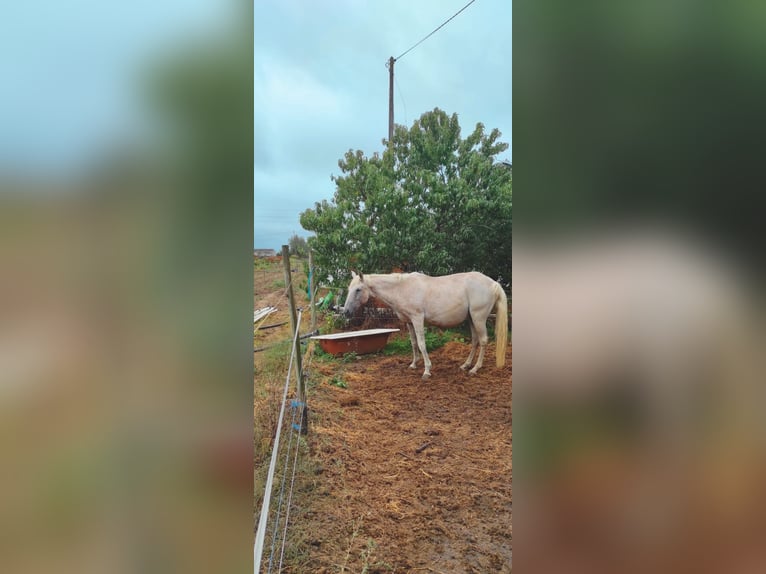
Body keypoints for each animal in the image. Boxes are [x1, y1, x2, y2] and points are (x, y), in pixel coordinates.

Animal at [342, 272, 510, 380]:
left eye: (358, 289)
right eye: (349, 289)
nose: (346, 312)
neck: (402, 288)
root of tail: (493, 283)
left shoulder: (417, 319)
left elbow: (422, 344)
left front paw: (427, 371)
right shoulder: (409, 322)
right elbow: (414, 343)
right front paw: (413, 364)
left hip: (478, 318)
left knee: (483, 341)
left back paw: (475, 369)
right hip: (471, 319)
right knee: (475, 341)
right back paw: (466, 365)